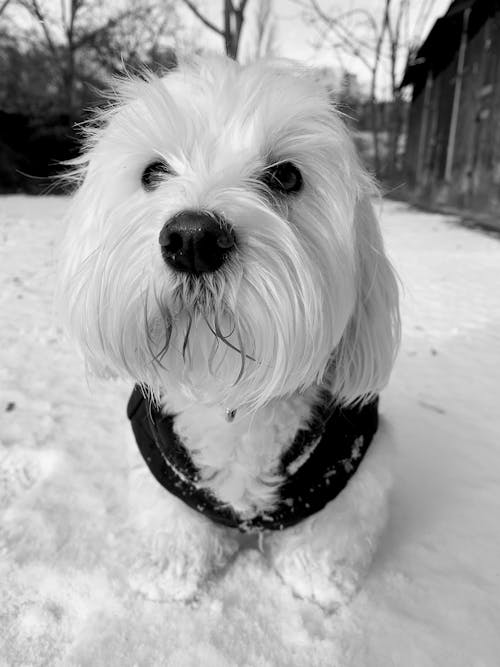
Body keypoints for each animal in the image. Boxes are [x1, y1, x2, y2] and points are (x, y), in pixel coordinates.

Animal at [58, 56, 400, 612]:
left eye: (286, 176)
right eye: (152, 172)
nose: (192, 239)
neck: (227, 394)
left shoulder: (353, 458)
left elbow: (332, 529)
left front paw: (317, 578)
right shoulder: (157, 460)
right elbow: (171, 523)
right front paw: (168, 573)